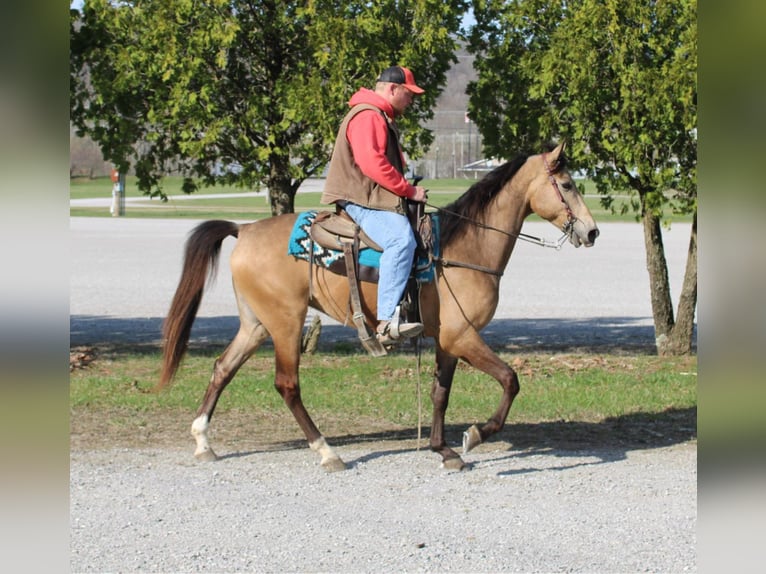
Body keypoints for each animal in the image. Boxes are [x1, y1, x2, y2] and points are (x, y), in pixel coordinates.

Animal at [158, 143, 600, 472]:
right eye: (566, 183)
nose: (592, 231)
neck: (464, 246)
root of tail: (245, 229)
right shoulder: (463, 336)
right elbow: (510, 379)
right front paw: (476, 434)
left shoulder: (448, 340)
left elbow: (440, 393)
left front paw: (443, 450)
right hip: (285, 323)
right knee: (287, 384)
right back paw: (327, 452)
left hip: (256, 324)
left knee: (223, 368)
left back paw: (203, 442)